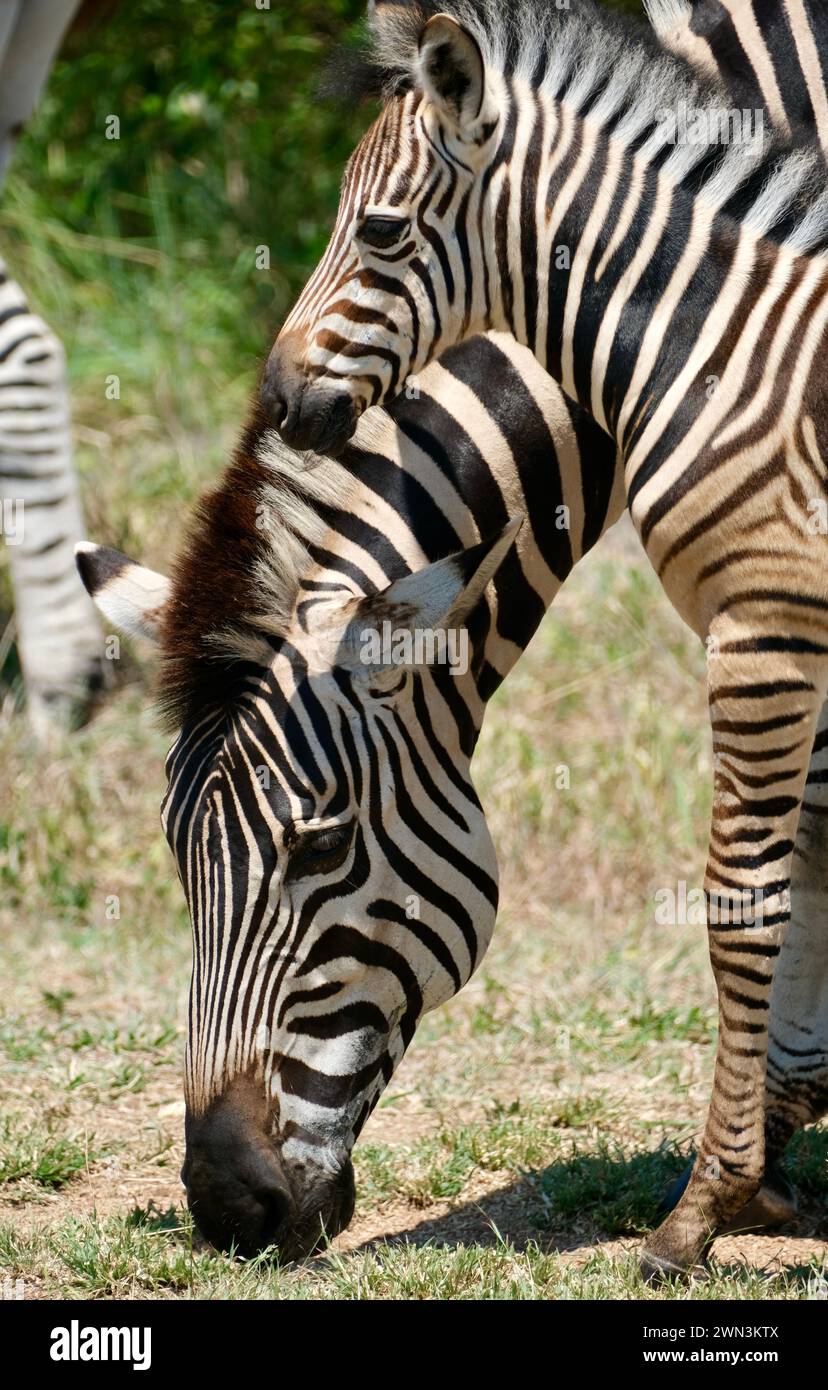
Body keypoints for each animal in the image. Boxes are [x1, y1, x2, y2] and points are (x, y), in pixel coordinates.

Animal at [74, 0, 828, 1264]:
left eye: (322, 846)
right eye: (179, 859)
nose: (227, 1206)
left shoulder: (768, 614)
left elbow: (746, 886)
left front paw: (712, 1197)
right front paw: (776, 1137)